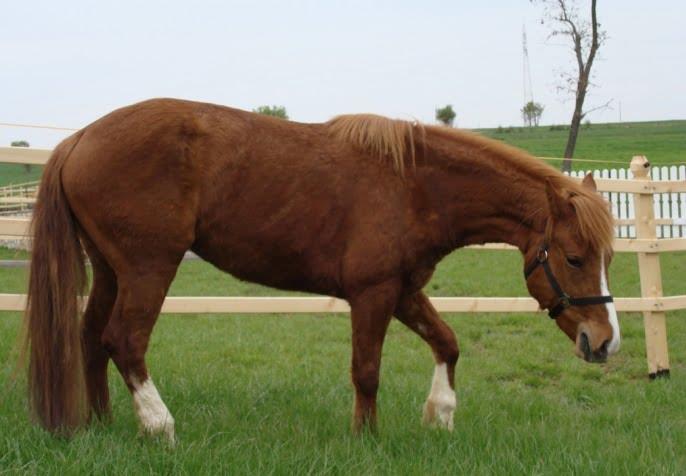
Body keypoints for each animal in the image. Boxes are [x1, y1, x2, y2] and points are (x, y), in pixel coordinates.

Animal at [23, 98, 619, 442]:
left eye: (609, 258)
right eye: (574, 258)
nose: (605, 342)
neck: (415, 185)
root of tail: (78, 139)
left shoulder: (404, 291)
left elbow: (448, 343)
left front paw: (441, 414)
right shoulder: (373, 294)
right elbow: (367, 371)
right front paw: (366, 439)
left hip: (110, 270)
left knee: (90, 337)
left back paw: (102, 425)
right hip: (149, 268)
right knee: (125, 340)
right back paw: (159, 426)